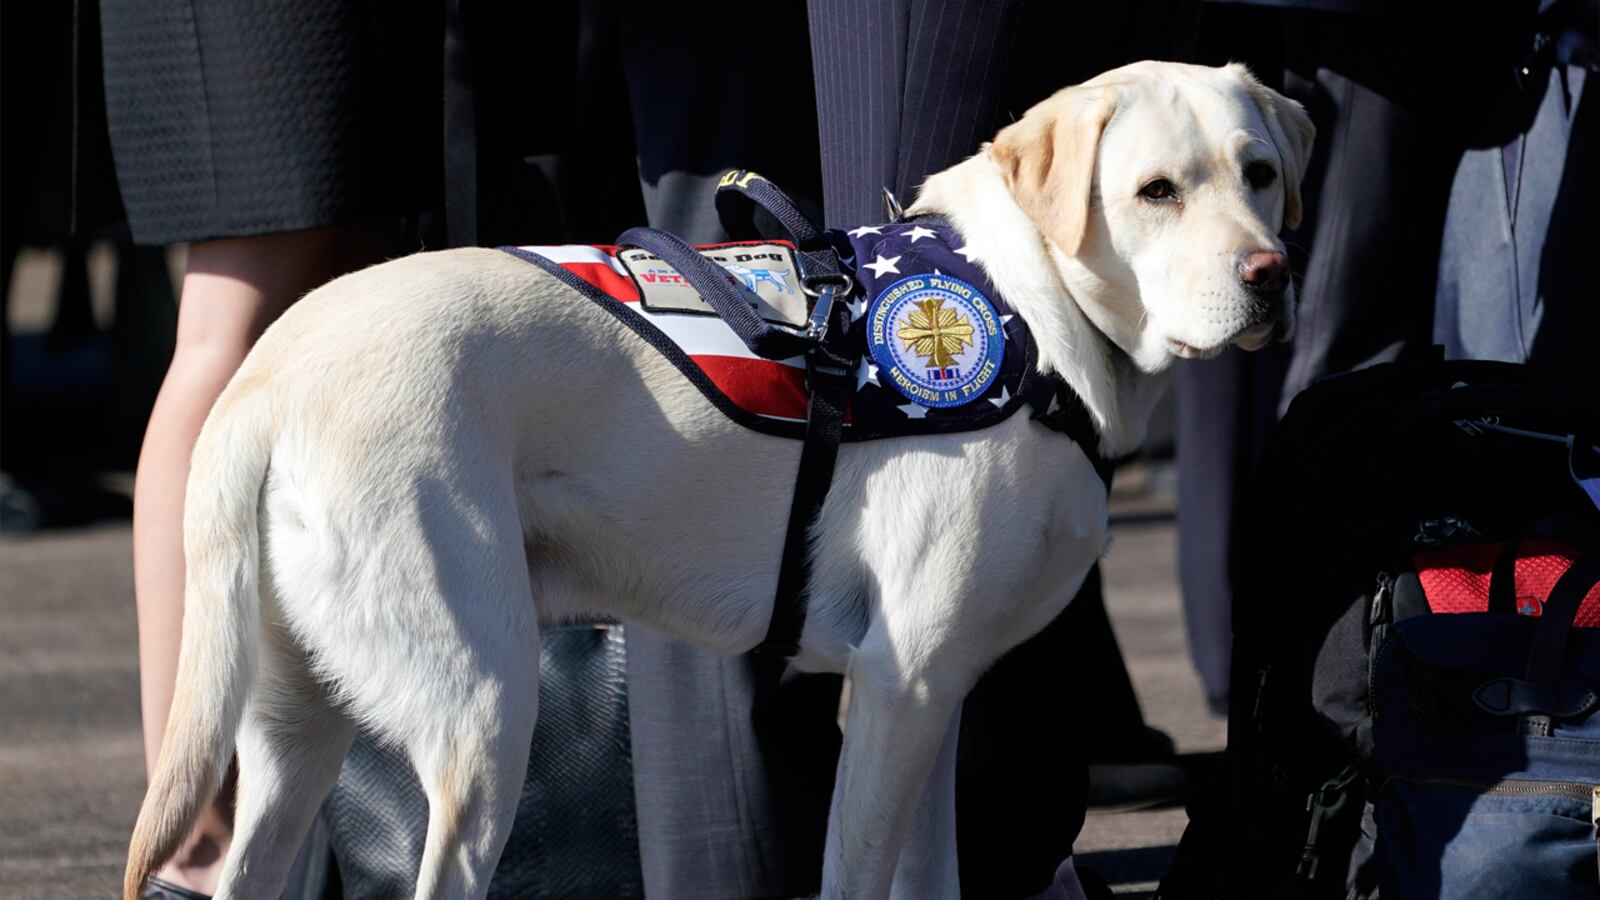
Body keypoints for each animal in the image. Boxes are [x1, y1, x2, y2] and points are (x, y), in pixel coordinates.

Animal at [128, 61, 1312, 896]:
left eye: (1259, 174)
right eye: (1155, 191)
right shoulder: (899, 684)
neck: (1030, 314)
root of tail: (270, 370)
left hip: (293, 736)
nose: (1271, 276)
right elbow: (855, 878)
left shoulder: (937, 693)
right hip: (481, 719)